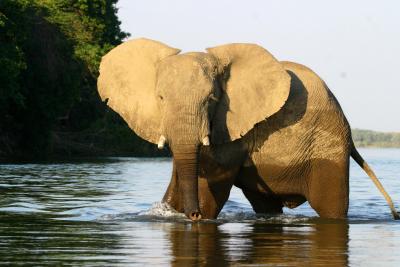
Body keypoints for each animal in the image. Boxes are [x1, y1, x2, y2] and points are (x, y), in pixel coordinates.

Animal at [97, 37, 400, 222]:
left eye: (212, 99)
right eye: (161, 99)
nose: (192, 216)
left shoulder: (229, 128)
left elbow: (213, 183)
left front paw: (201, 216)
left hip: (329, 146)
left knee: (330, 208)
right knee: (266, 205)